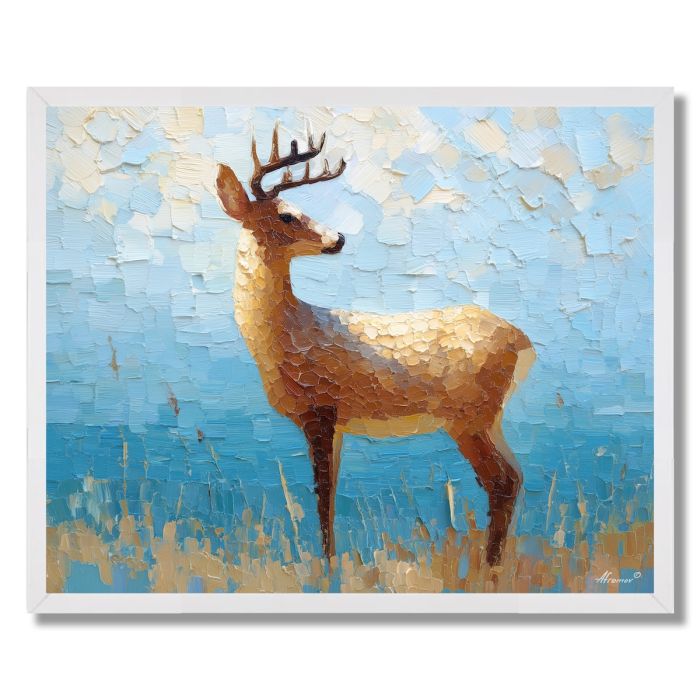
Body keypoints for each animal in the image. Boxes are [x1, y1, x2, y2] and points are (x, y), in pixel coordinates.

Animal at [216, 125, 535, 567]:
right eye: (286, 214)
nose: (338, 239)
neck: (288, 334)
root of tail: (522, 341)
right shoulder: (334, 421)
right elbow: (329, 492)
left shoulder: (321, 409)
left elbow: (323, 496)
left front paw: (328, 567)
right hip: (489, 417)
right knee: (515, 475)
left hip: (471, 414)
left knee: (502, 480)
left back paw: (489, 569)